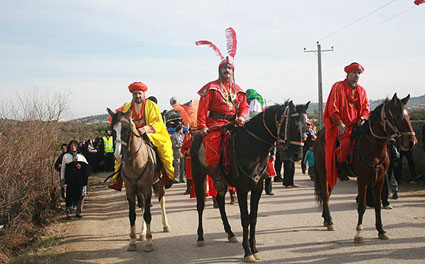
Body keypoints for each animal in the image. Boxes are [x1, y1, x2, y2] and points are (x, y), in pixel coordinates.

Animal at [107, 108, 170, 252]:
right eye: (113, 130)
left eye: (125, 129)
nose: (118, 155)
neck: (135, 162)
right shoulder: (130, 190)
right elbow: (133, 215)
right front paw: (133, 241)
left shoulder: (147, 188)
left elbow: (148, 215)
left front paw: (149, 242)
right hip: (139, 190)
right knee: (143, 207)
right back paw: (142, 232)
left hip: (159, 183)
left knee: (161, 200)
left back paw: (165, 225)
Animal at [191, 101, 308, 262]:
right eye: (291, 126)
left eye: (305, 127)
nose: (298, 155)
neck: (252, 146)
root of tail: (196, 137)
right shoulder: (241, 189)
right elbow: (245, 219)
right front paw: (247, 252)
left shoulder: (257, 187)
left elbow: (253, 218)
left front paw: (255, 249)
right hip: (199, 176)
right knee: (200, 205)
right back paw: (200, 237)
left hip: (220, 181)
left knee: (220, 202)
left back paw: (230, 234)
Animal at [314, 93, 416, 243]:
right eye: (398, 116)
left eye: (409, 115)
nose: (411, 142)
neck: (373, 147)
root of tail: (319, 137)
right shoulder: (362, 179)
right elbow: (361, 205)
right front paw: (359, 232)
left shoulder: (379, 178)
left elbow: (378, 204)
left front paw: (381, 230)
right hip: (324, 171)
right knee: (326, 194)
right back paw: (330, 221)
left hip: (334, 173)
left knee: (327, 193)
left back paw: (326, 219)